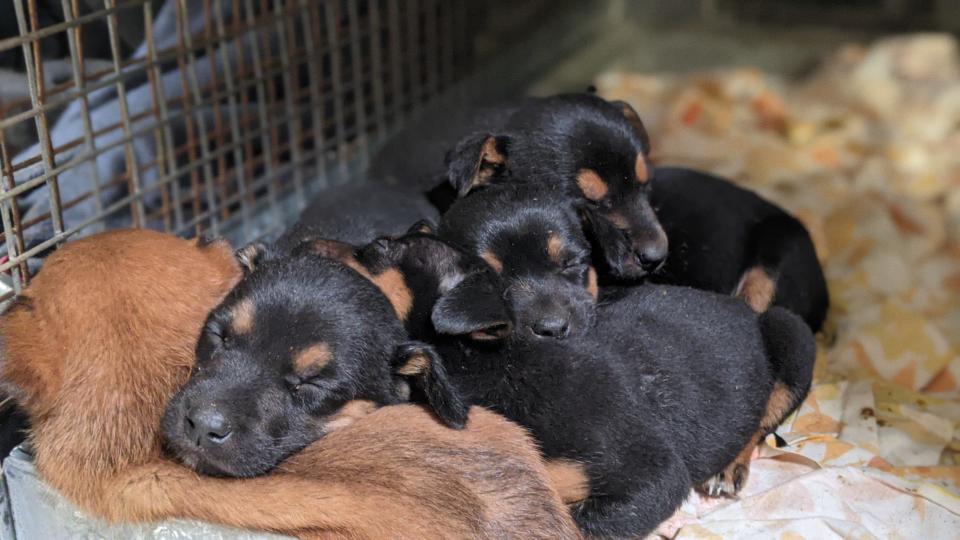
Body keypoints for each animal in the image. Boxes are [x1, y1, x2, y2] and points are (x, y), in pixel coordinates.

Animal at [342, 230, 812, 536]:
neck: (492, 367)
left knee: (765, 414)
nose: (320, 239)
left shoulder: (653, 474)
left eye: (381, 248)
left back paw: (729, 466)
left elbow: (579, 527)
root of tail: (742, 308)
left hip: (792, 333)